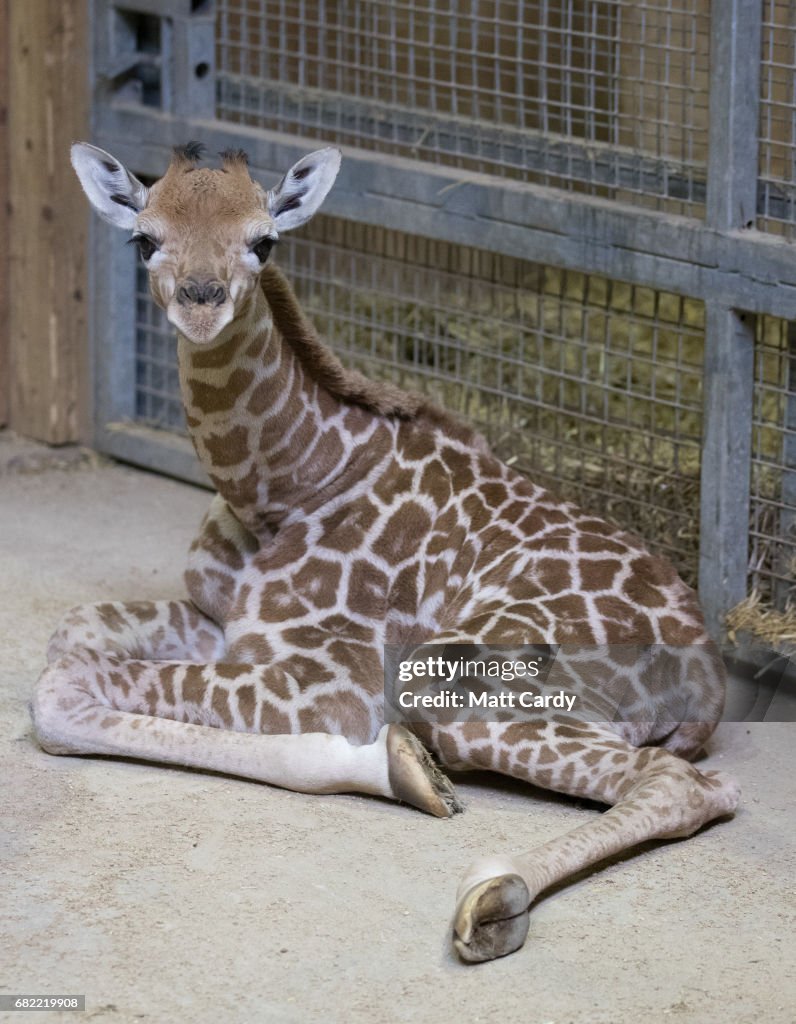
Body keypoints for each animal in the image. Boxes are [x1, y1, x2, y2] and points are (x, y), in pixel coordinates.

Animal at [30, 142, 737, 958]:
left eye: (264, 241)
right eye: (143, 239)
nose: (200, 301)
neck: (285, 485)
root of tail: (710, 682)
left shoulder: (335, 679)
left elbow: (56, 690)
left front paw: (401, 768)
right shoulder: (223, 624)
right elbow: (70, 635)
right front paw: (400, 766)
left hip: (464, 681)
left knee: (684, 783)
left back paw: (491, 901)